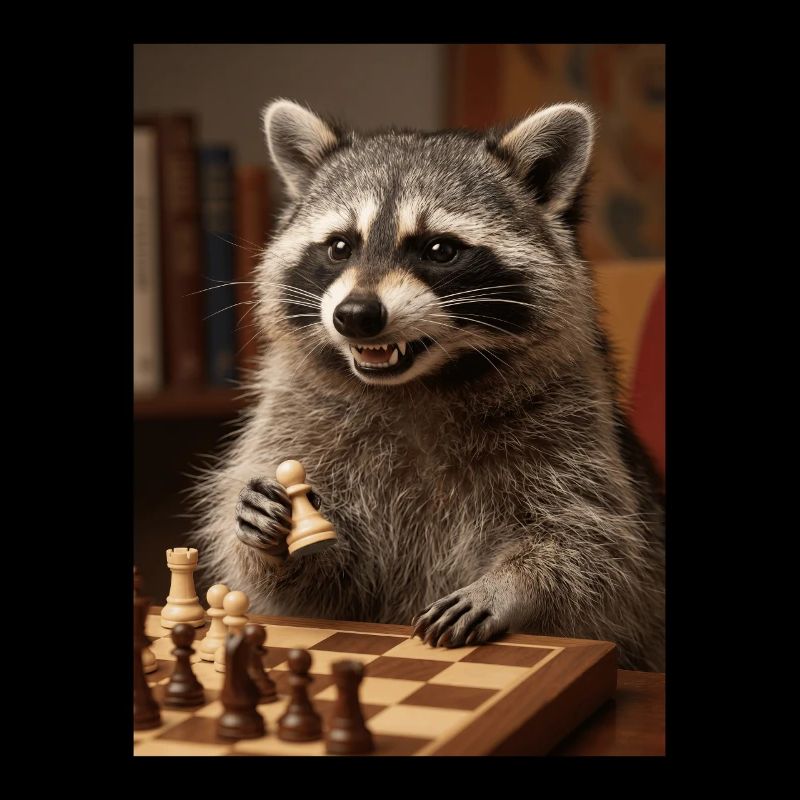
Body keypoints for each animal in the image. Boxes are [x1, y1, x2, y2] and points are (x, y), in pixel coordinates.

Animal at [191, 99, 665, 671]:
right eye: (339, 247)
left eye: (439, 249)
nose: (355, 316)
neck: (419, 384)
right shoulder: (298, 418)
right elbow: (320, 594)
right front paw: (278, 544)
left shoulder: (573, 421)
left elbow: (593, 550)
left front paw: (513, 585)